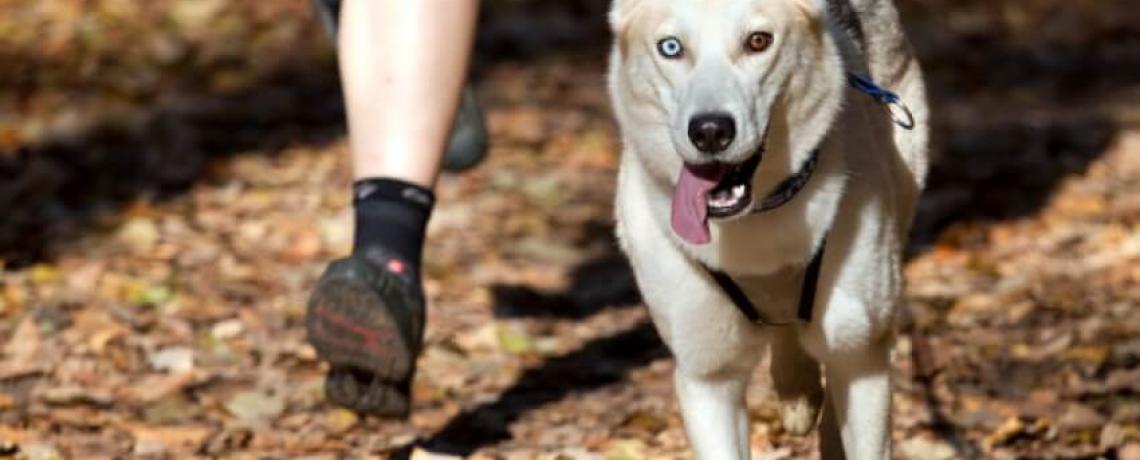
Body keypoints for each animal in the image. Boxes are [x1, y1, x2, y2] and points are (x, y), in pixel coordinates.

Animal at [606, 0, 925, 457]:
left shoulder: (861, 360)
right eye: (671, 47)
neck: (755, 222)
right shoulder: (708, 376)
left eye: (758, 41)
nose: (710, 131)